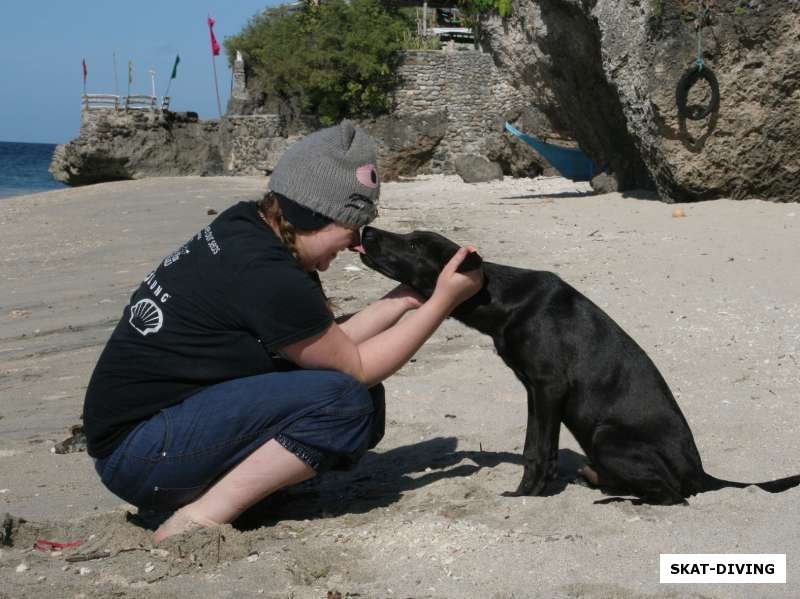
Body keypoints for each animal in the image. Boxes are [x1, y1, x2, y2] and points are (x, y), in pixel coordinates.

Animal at [362, 227, 800, 504]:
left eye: (415, 244)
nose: (366, 229)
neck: (502, 298)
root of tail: (699, 472)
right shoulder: (535, 392)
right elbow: (536, 448)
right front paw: (529, 492)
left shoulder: (549, 387)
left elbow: (540, 449)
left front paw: (528, 496)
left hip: (607, 436)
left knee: (675, 497)